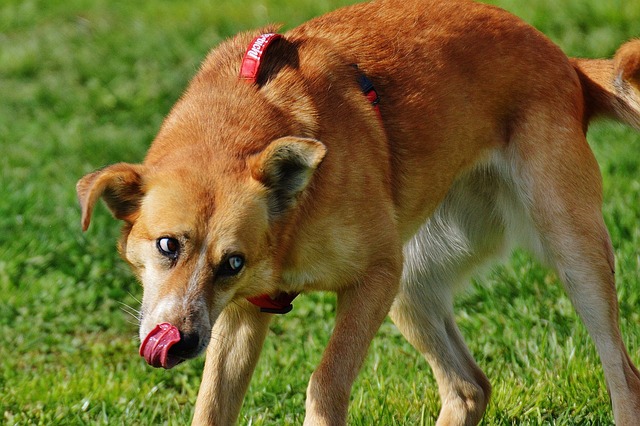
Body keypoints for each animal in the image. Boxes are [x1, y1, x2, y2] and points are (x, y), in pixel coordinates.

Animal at [79, 0, 640, 422]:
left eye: (232, 262)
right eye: (167, 245)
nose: (180, 343)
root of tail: (565, 61)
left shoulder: (374, 275)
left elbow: (326, 380)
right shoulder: (241, 316)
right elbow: (212, 404)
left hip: (572, 254)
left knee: (625, 380)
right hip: (414, 285)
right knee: (468, 388)